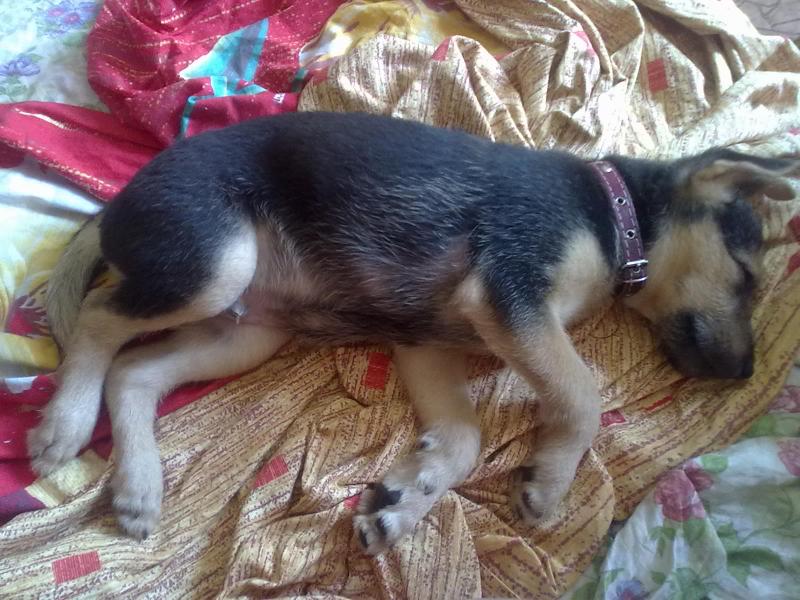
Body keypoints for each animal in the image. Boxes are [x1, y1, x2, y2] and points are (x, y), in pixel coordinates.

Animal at [30, 111, 797, 553]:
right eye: (746, 277)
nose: (744, 375)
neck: (616, 215)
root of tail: (115, 204)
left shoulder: (430, 339)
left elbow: (462, 437)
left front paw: (405, 502)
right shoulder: (511, 290)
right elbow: (581, 392)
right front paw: (550, 482)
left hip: (248, 331)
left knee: (135, 373)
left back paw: (137, 486)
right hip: (217, 260)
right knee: (97, 321)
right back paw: (66, 422)